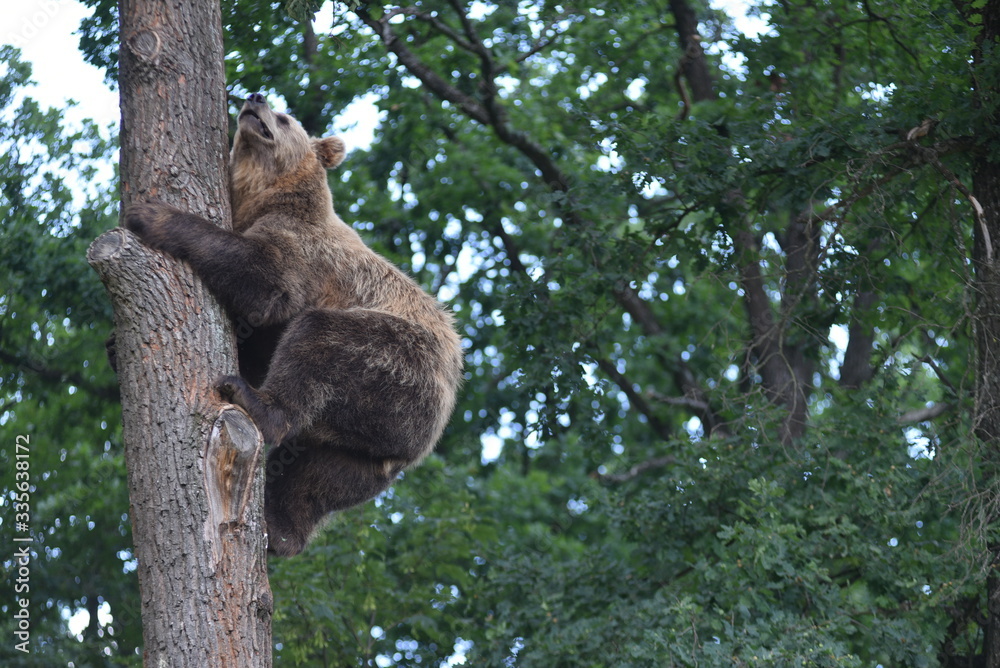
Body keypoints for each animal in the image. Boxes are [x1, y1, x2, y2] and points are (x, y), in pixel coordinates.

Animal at [122, 93, 464, 556]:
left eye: (285, 118)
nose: (255, 99)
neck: (269, 196)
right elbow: (253, 335)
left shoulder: (305, 252)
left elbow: (262, 277)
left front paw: (151, 213)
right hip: (371, 445)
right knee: (318, 476)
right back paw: (281, 532)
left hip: (401, 360)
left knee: (319, 342)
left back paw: (256, 403)